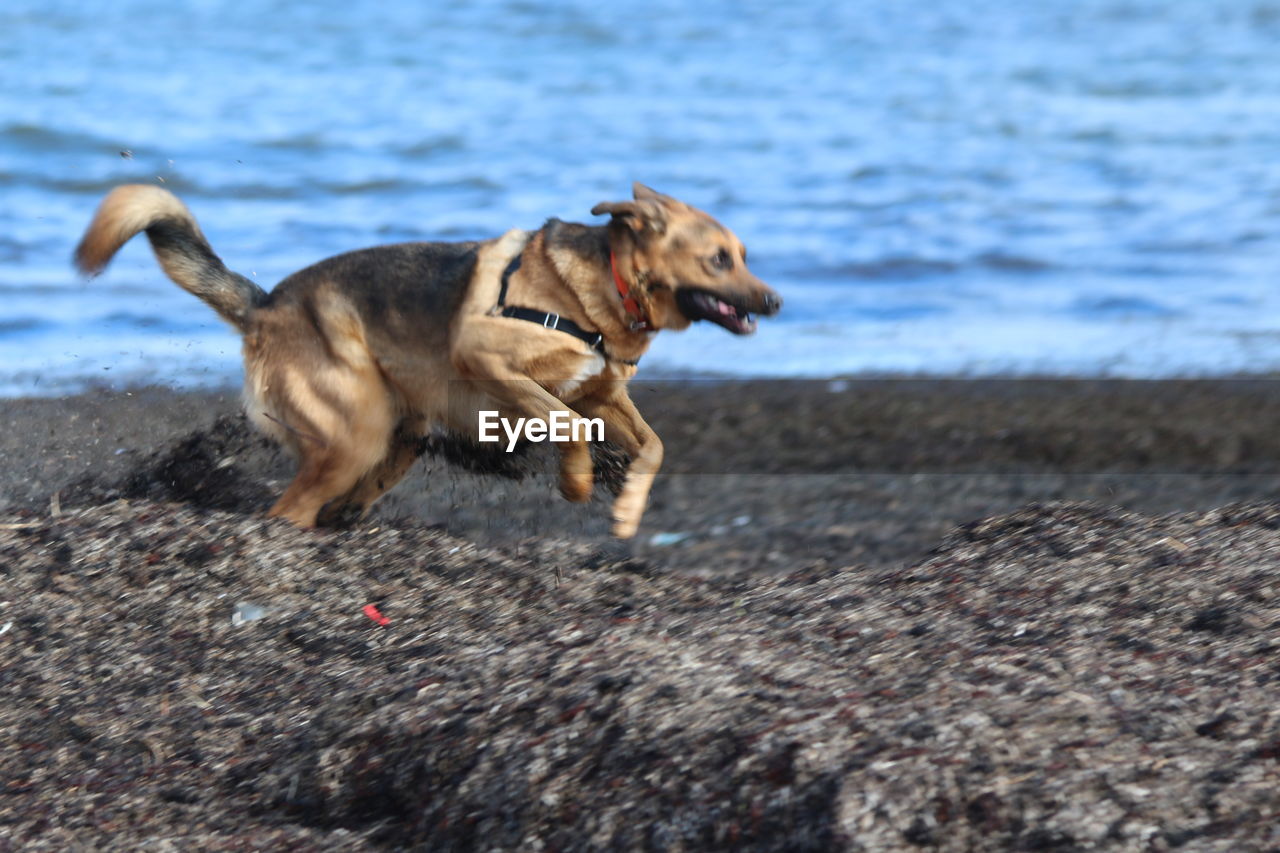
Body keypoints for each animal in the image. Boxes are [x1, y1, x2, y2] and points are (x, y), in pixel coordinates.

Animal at [80, 183, 783, 535]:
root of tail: (266, 304)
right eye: (719, 259)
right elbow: (567, 424)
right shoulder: (490, 362)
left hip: (398, 434)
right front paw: (578, 482)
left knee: (334, 499)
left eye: (743, 255)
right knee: (287, 511)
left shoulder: (603, 393)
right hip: (355, 430)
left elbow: (653, 446)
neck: (601, 290)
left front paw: (628, 507)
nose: (775, 301)